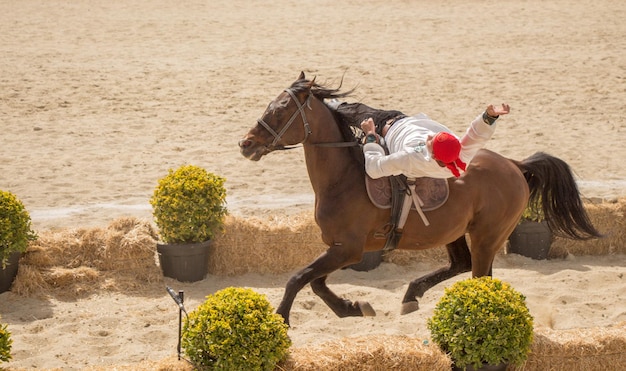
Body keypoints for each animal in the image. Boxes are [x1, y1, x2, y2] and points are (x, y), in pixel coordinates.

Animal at [236, 72, 596, 326]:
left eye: (280, 110)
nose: (246, 143)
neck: (343, 179)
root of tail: (515, 165)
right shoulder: (337, 248)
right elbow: (316, 283)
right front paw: (353, 308)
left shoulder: (348, 249)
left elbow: (299, 278)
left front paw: (281, 318)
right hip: (454, 232)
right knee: (461, 264)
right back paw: (412, 295)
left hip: (487, 237)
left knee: (479, 275)